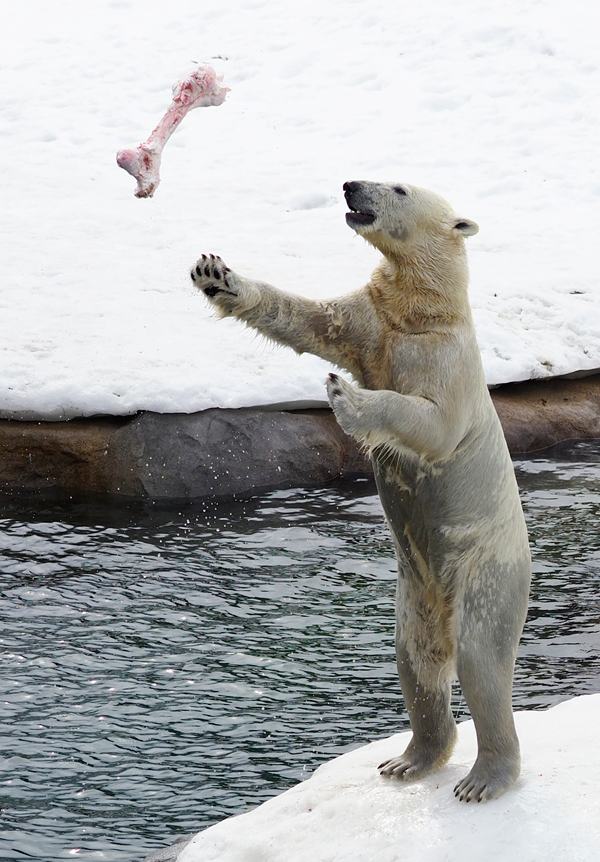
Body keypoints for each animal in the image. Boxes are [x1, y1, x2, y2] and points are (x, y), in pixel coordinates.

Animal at [191, 181, 528, 804]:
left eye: (397, 186)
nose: (349, 184)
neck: (422, 313)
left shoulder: (446, 362)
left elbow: (432, 422)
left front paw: (344, 396)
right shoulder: (371, 322)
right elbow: (306, 319)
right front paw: (215, 273)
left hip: (485, 568)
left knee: (480, 658)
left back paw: (483, 778)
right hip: (414, 593)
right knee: (415, 660)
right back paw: (408, 759)